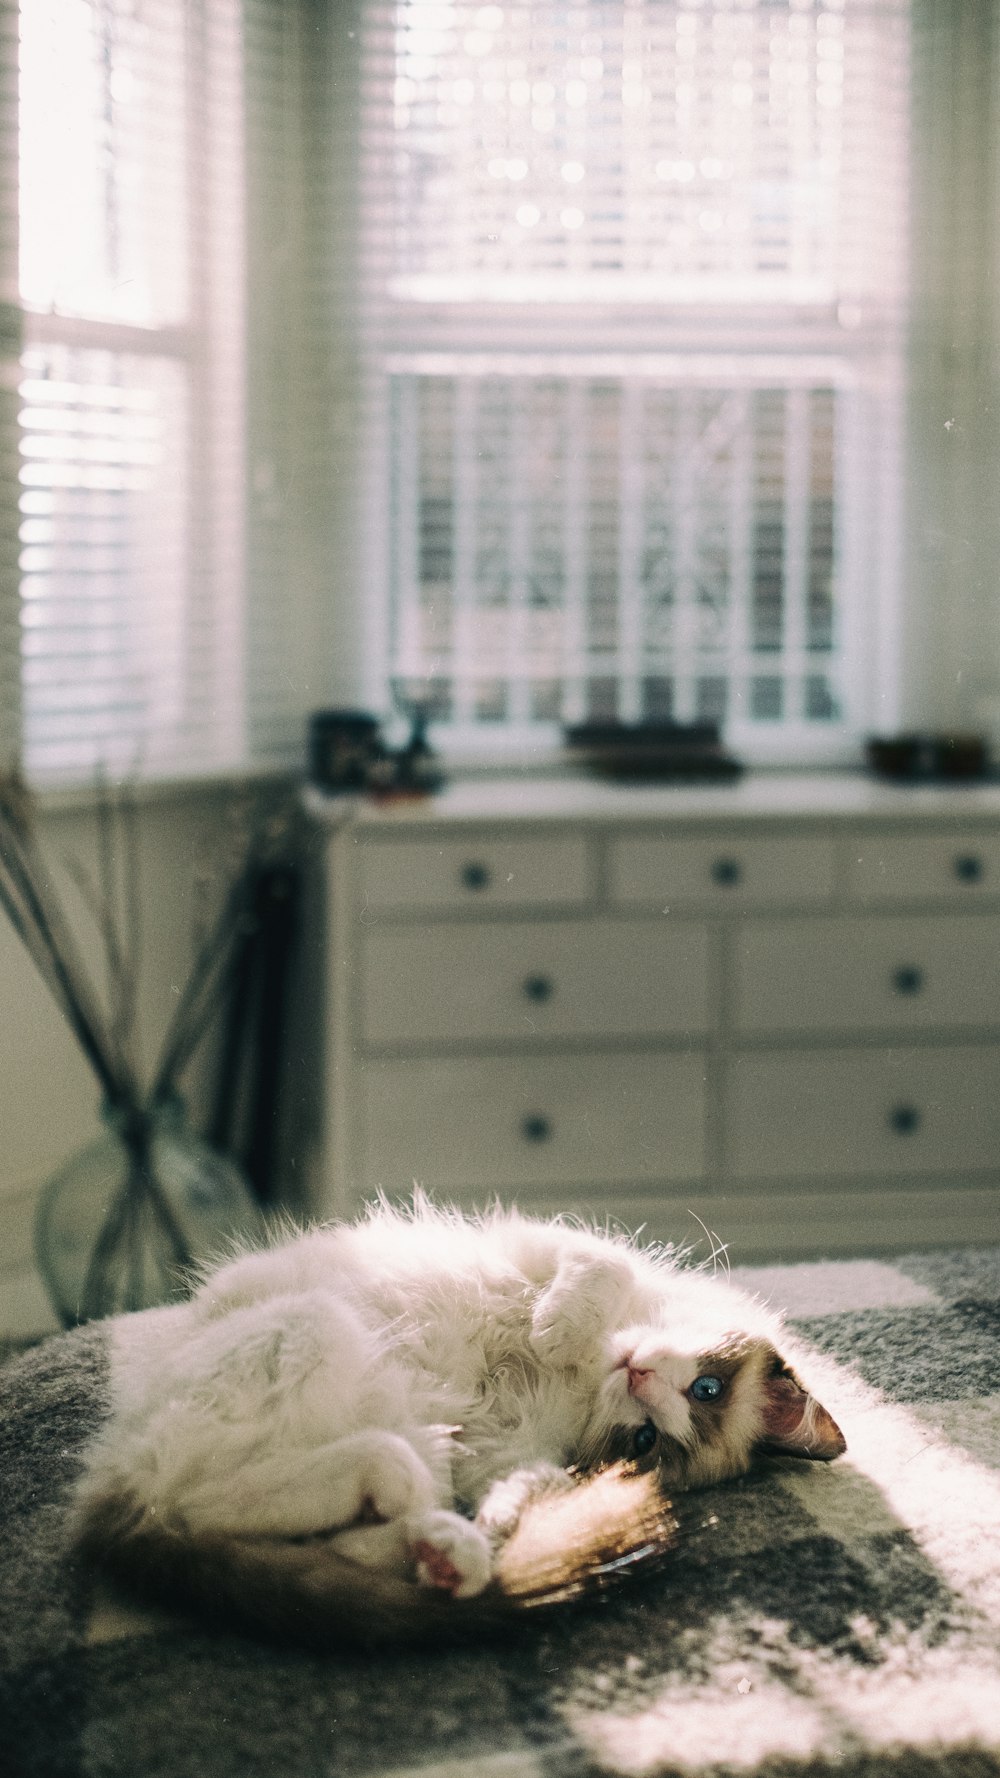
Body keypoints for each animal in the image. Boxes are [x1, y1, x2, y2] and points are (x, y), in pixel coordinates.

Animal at [72, 1201, 839, 1642]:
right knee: (199, 1503)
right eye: (707, 1386)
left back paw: (447, 1549)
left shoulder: (510, 1448)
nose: (639, 1379)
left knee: (264, 1519)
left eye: (646, 1439)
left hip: (381, 1410)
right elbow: (600, 1268)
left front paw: (503, 1517)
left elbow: (530, 1482)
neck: (589, 1370)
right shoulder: (544, 1245)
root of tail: (106, 1488)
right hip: (313, 1331)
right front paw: (556, 1326)